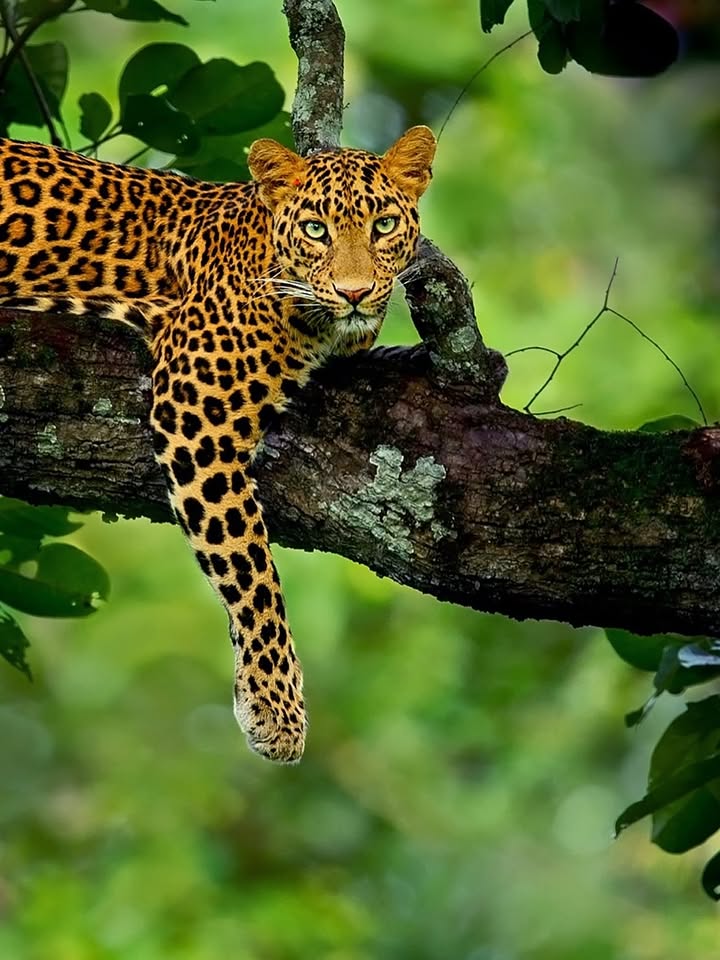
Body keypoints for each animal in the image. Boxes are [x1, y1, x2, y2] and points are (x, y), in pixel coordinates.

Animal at [0, 125, 437, 762]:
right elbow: (249, 567)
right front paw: (277, 709)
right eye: (316, 230)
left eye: (382, 224)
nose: (354, 292)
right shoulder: (196, 412)